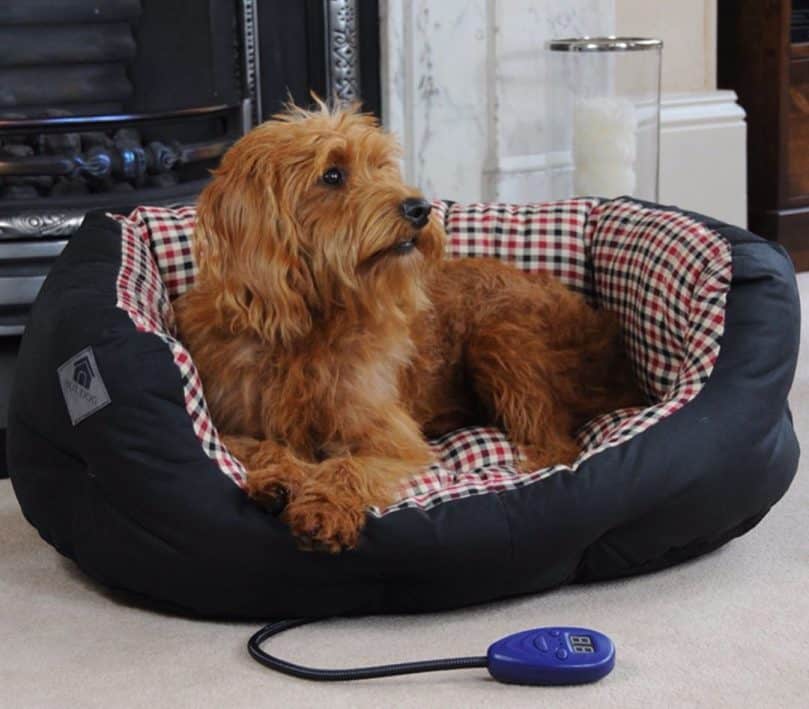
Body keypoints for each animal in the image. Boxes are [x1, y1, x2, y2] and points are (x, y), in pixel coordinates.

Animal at [174, 102, 640, 552]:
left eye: (382, 167)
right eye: (332, 174)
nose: (420, 208)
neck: (310, 329)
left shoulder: (390, 438)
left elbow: (346, 466)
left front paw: (324, 508)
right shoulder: (230, 422)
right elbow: (257, 445)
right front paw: (281, 478)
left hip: (500, 338)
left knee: (562, 447)